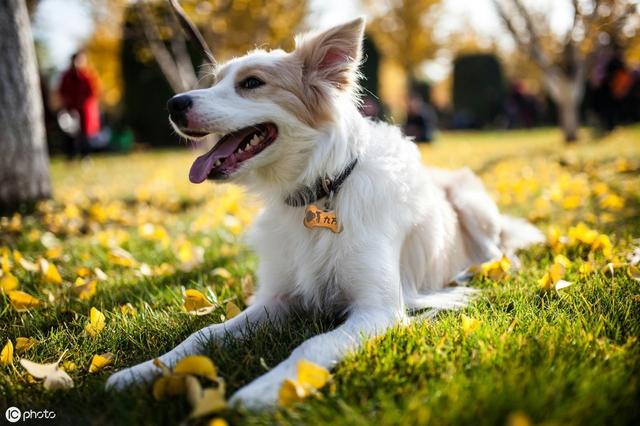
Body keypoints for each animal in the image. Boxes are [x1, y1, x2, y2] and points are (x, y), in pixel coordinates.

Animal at [106, 17, 544, 410]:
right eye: (215, 82)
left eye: (252, 83)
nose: (173, 104)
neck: (318, 190)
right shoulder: (276, 299)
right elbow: (204, 334)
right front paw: (142, 371)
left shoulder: (378, 309)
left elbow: (310, 346)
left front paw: (269, 390)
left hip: (473, 202)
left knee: (500, 252)